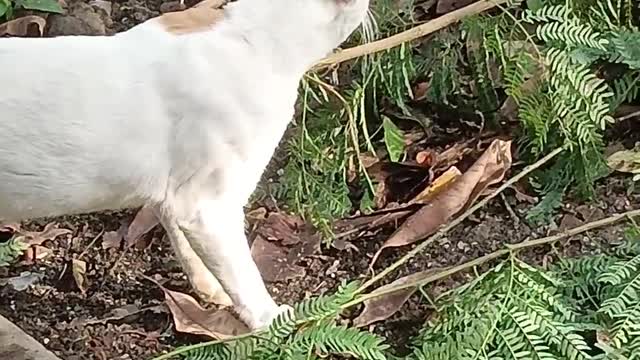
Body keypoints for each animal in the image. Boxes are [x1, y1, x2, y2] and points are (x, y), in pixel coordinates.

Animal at [0, 0, 370, 330]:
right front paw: (276, 321)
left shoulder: (178, 196)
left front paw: (213, 292)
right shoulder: (208, 206)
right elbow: (244, 277)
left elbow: (189, 249)